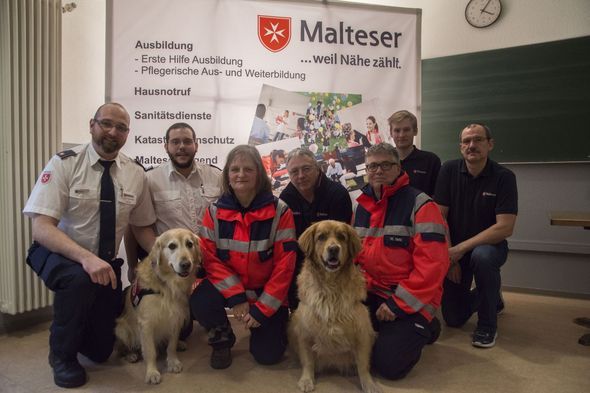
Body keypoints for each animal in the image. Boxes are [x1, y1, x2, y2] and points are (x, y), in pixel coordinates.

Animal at [115, 227, 204, 382]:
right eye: (172, 246)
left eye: (189, 244)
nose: (186, 264)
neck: (168, 283)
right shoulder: (146, 323)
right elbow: (150, 351)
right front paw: (152, 372)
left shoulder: (176, 317)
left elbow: (171, 345)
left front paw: (173, 362)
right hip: (121, 328)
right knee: (121, 348)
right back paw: (130, 354)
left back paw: (180, 343)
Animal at [290, 220, 382, 392]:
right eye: (321, 237)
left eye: (341, 237)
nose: (333, 249)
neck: (331, 286)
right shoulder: (304, 330)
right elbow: (308, 361)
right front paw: (306, 379)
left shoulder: (362, 331)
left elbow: (363, 364)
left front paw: (369, 383)